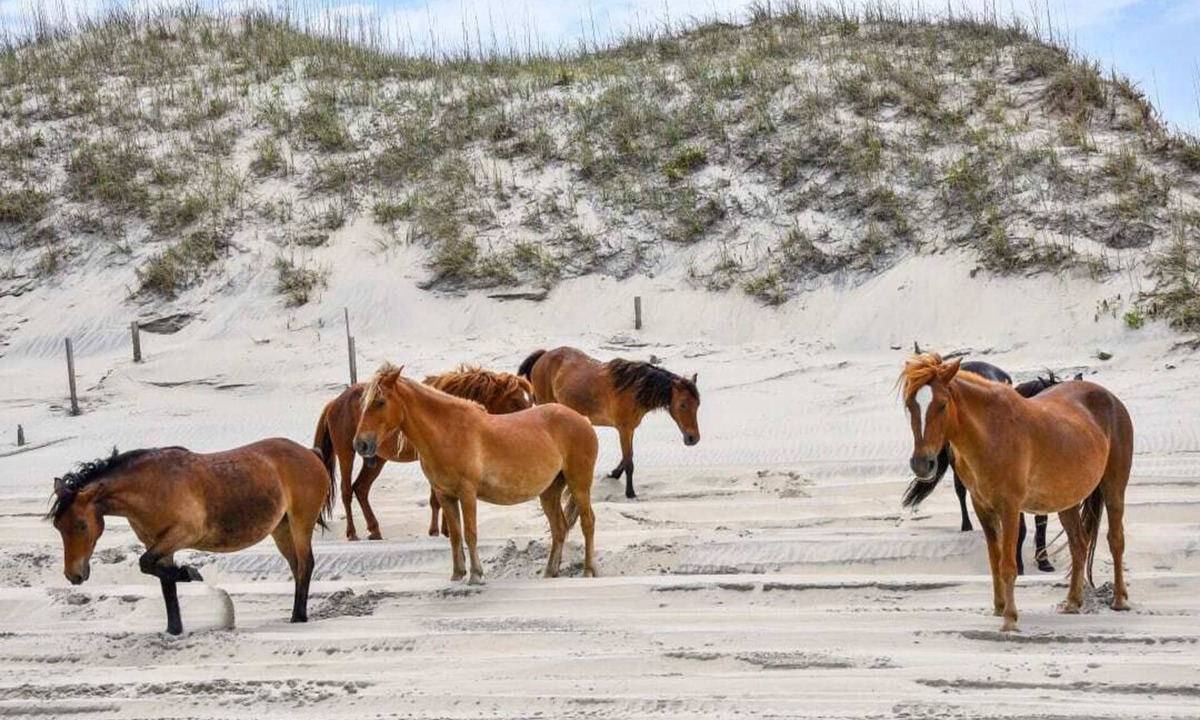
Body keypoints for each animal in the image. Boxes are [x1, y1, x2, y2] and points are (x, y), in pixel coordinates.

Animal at [47, 439, 333, 635]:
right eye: (58, 526)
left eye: (82, 525)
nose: (74, 575)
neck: (151, 486)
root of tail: (310, 453)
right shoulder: (157, 544)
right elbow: (165, 584)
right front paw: (174, 629)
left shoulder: (183, 533)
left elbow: (145, 564)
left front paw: (191, 574)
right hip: (281, 529)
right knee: (296, 567)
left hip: (300, 524)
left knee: (305, 565)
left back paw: (298, 617)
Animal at [313, 366, 533, 540]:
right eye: (515, 401)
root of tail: (335, 402)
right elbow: (437, 498)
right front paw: (440, 530)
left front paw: (443, 529)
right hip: (347, 453)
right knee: (347, 491)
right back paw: (352, 533)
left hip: (377, 457)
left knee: (361, 488)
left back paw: (374, 530)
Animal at [353, 363, 599, 583]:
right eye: (363, 404)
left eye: (380, 402)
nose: (361, 444)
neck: (448, 431)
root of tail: (583, 420)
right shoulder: (445, 495)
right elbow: (455, 535)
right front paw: (457, 574)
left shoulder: (467, 493)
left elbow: (470, 533)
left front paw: (476, 575)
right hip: (549, 491)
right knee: (559, 528)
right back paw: (550, 572)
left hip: (579, 484)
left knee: (588, 522)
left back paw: (588, 570)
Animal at [518, 347, 700, 499]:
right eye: (683, 404)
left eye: (697, 404)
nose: (693, 438)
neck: (634, 389)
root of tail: (544, 355)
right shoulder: (623, 429)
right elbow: (629, 460)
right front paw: (630, 492)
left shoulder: (630, 429)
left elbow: (629, 455)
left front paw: (614, 474)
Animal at [902, 360, 1060, 574]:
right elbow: (1021, 527)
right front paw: (1018, 565)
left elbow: (1041, 523)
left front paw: (1044, 562)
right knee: (961, 492)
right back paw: (966, 525)